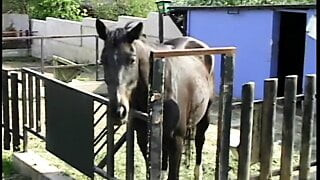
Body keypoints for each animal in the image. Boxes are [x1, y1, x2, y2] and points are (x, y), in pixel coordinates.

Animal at [95, 19, 215, 179]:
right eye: (103, 60)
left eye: (132, 60)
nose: (118, 111)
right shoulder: (143, 138)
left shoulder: (176, 141)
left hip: (204, 115)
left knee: (200, 140)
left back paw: (198, 173)